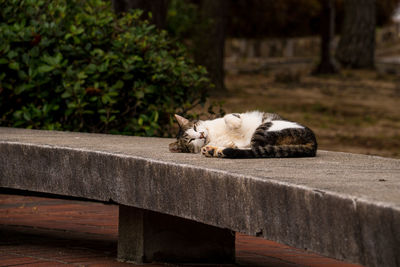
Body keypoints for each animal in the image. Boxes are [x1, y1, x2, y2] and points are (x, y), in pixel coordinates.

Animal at [167, 111, 318, 159]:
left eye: (194, 127)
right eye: (190, 140)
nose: (202, 134)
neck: (212, 136)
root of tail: (313, 142)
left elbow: (228, 116)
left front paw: (236, 123)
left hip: (266, 124)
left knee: (255, 147)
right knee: (255, 148)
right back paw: (213, 150)